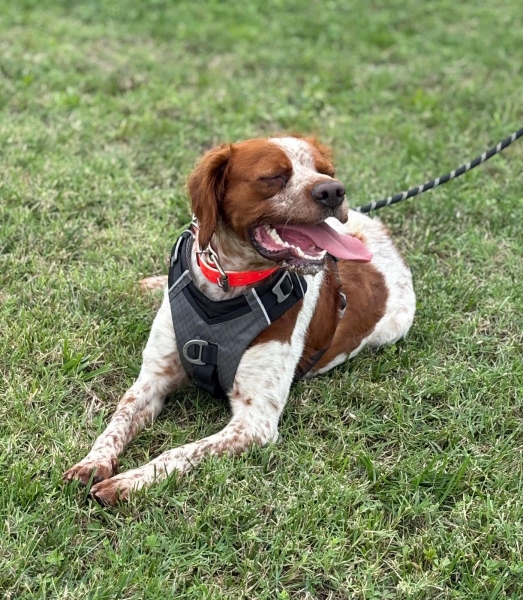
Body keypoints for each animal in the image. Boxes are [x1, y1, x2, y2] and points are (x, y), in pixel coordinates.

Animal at [64, 135, 415, 505]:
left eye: (327, 171)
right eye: (273, 177)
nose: (333, 191)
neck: (228, 284)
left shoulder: (255, 421)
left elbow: (180, 452)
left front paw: (128, 482)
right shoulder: (153, 377)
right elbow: (117, 420)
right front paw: (93, 463)